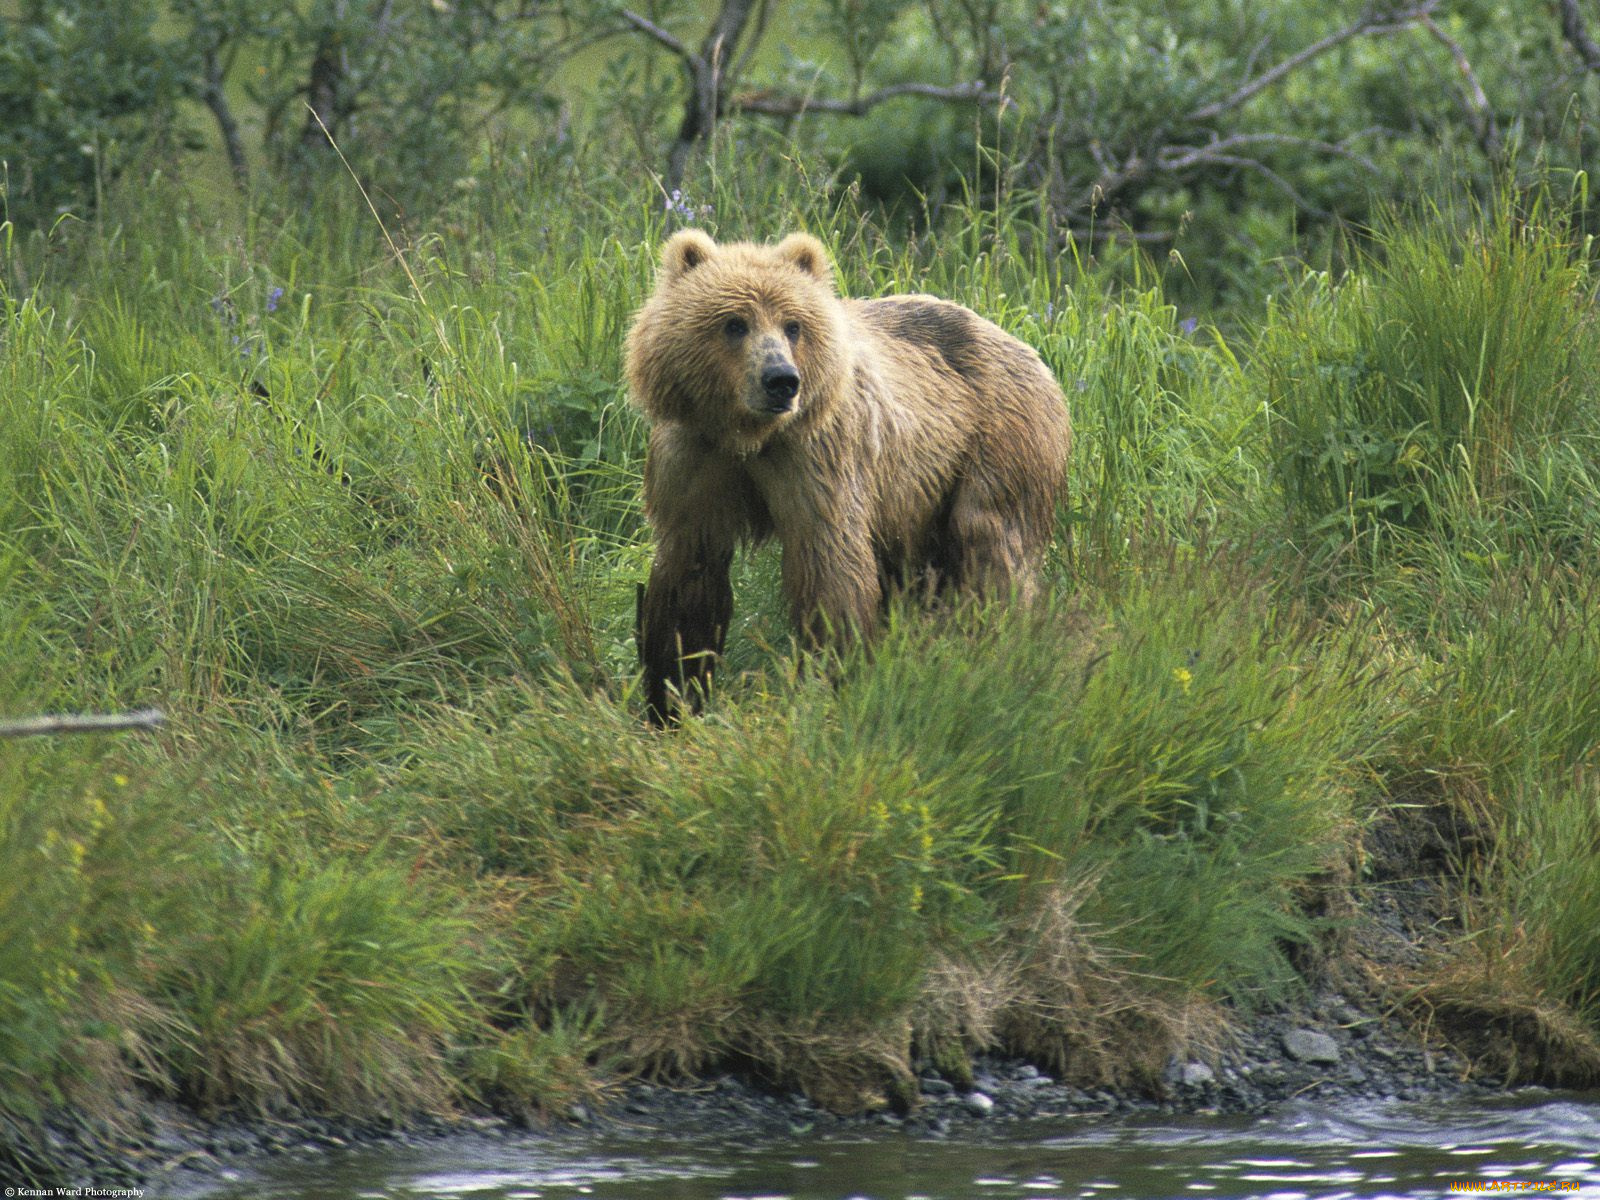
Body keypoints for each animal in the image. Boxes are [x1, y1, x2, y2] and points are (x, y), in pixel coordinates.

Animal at [626, 229, 1072, 724]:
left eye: (793, 325)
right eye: (735, 323)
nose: (781, 380)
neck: (749, 437)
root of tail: (1029, 349)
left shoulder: (816, 456)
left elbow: (830, 564)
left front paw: (834, 676)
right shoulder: (696, 457)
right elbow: (691, 572)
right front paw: (673, 696)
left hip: (997, 442)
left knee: (992, 546)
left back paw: (1002, 647)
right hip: (919, 499)